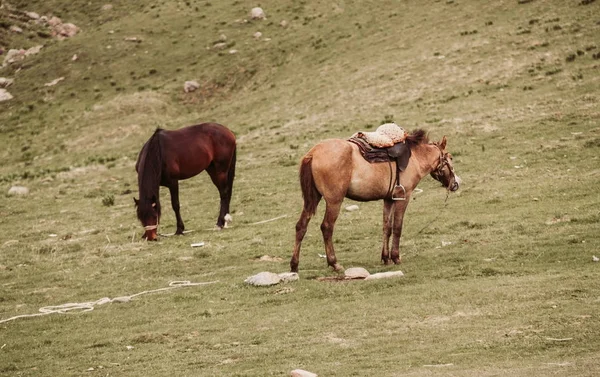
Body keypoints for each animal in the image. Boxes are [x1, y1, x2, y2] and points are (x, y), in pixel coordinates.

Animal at [290, 129, 460, 270]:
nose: (455, 184)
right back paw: (334, 263)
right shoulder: (403, 198)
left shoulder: (389, 199)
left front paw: (386, 258)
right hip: (334, 201)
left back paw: (294, 265)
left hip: (313, 199)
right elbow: (397, 227)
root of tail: (313, 153)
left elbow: (387, 228)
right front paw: (396, 257)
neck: (415, 158)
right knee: (326, 227)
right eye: (451, 157)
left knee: (301, 226)